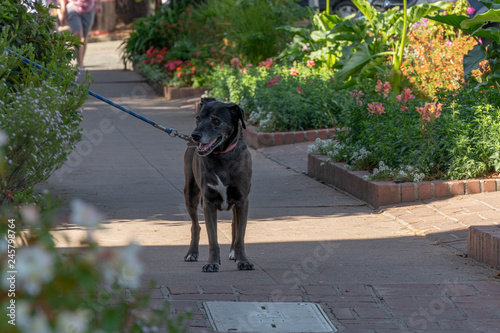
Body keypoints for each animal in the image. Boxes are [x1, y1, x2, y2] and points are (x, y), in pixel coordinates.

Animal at [184, 97, 254, 272]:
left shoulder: (242, 201)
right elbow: (212, 238)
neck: (222, 156)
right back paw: (192, 253)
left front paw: (243, 260)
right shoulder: (208, 203)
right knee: (195, 226)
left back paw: (234, 253)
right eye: (198, 118)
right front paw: (212, 262)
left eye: (216, 121)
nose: (195, 135)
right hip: (190, 193)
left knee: (235, 226)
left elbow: (240, 235)